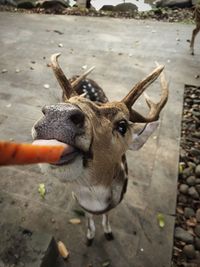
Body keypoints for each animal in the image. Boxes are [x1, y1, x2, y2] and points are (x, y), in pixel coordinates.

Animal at [31, 54, 169, 247]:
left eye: (122, 125)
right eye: (66, 104)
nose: (58, 113)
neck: (94, 201)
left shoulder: (117, 201)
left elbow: (107, 215)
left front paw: (108, 232)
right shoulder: (80, 203)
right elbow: (88, 218)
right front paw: (89, 237)